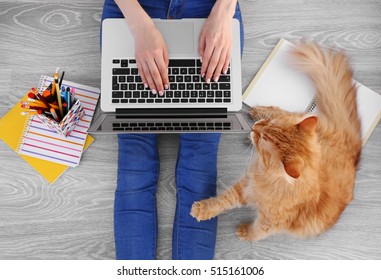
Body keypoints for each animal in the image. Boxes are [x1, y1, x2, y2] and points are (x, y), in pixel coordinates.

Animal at [191, 41, 360, 241]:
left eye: (263, 138)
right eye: (268, 126)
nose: (255, 128)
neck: (265, 175)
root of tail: (352, 144)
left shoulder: (269, 222)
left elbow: (256, 232)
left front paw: (244, 233)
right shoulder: (246, 186)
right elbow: (223, 200)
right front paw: (203, 209)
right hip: (297, 116)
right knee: (280, 110)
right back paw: (256, 112)